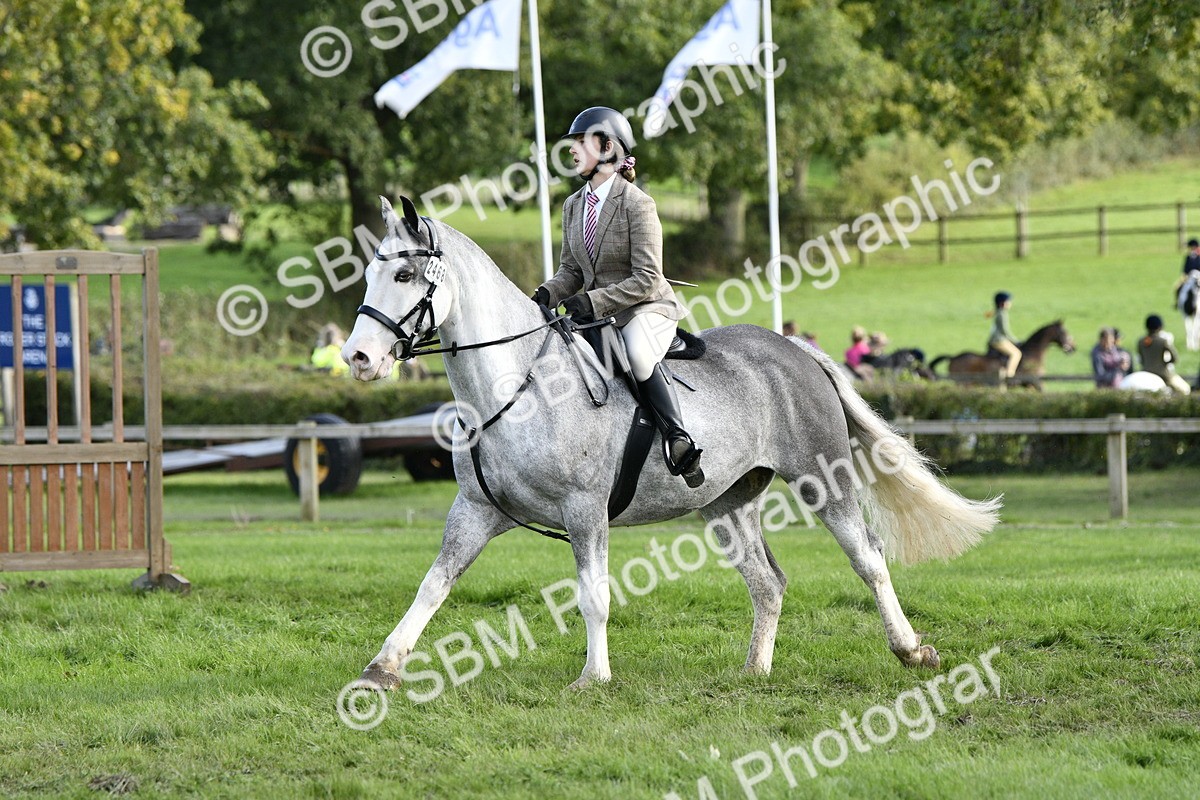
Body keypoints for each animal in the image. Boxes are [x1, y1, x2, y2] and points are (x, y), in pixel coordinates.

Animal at [342, 196, 1002, 691]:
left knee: (868, 559)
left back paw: (911, 650)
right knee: (767, 583)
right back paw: (754, 672)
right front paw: (382, 669)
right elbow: (432, 585)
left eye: (404, 275)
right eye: (372, 273)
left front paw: (594, 678)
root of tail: (794, 349)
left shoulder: (584, 512)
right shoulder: (475, 511)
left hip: (823, 478)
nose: (358, 358)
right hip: (727, 501)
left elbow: (593, 597)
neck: (518, 384)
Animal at [928, 321, 1075, 389]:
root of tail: (953, 357)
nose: (1073, 348)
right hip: (964, 383)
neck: (1033, 354)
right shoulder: (1036, 383)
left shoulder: (1029, 386)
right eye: (1065, 332)